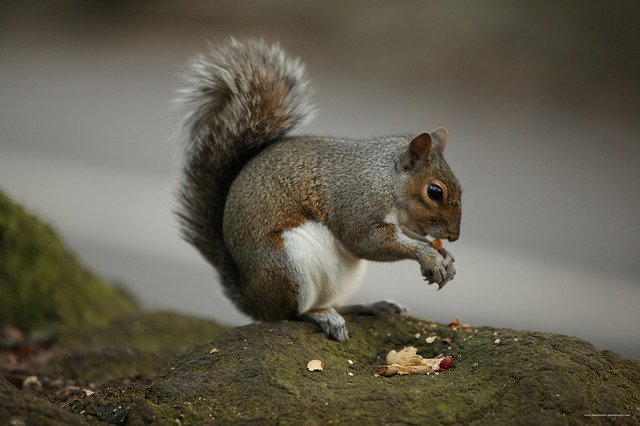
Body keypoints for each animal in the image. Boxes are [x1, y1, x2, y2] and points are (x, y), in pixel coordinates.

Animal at [176, 38, 461, 341]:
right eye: (435, 192)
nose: (454, 236)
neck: (384, 178)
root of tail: (252, 298)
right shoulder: (357, 203)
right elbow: (366, 242)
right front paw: (428, 255)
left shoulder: (400, 221)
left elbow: (407, 234)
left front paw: (445, 256)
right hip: (286, 267)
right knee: (292, 313)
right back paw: (321, 316)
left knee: (333, 302)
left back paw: (371, 306)